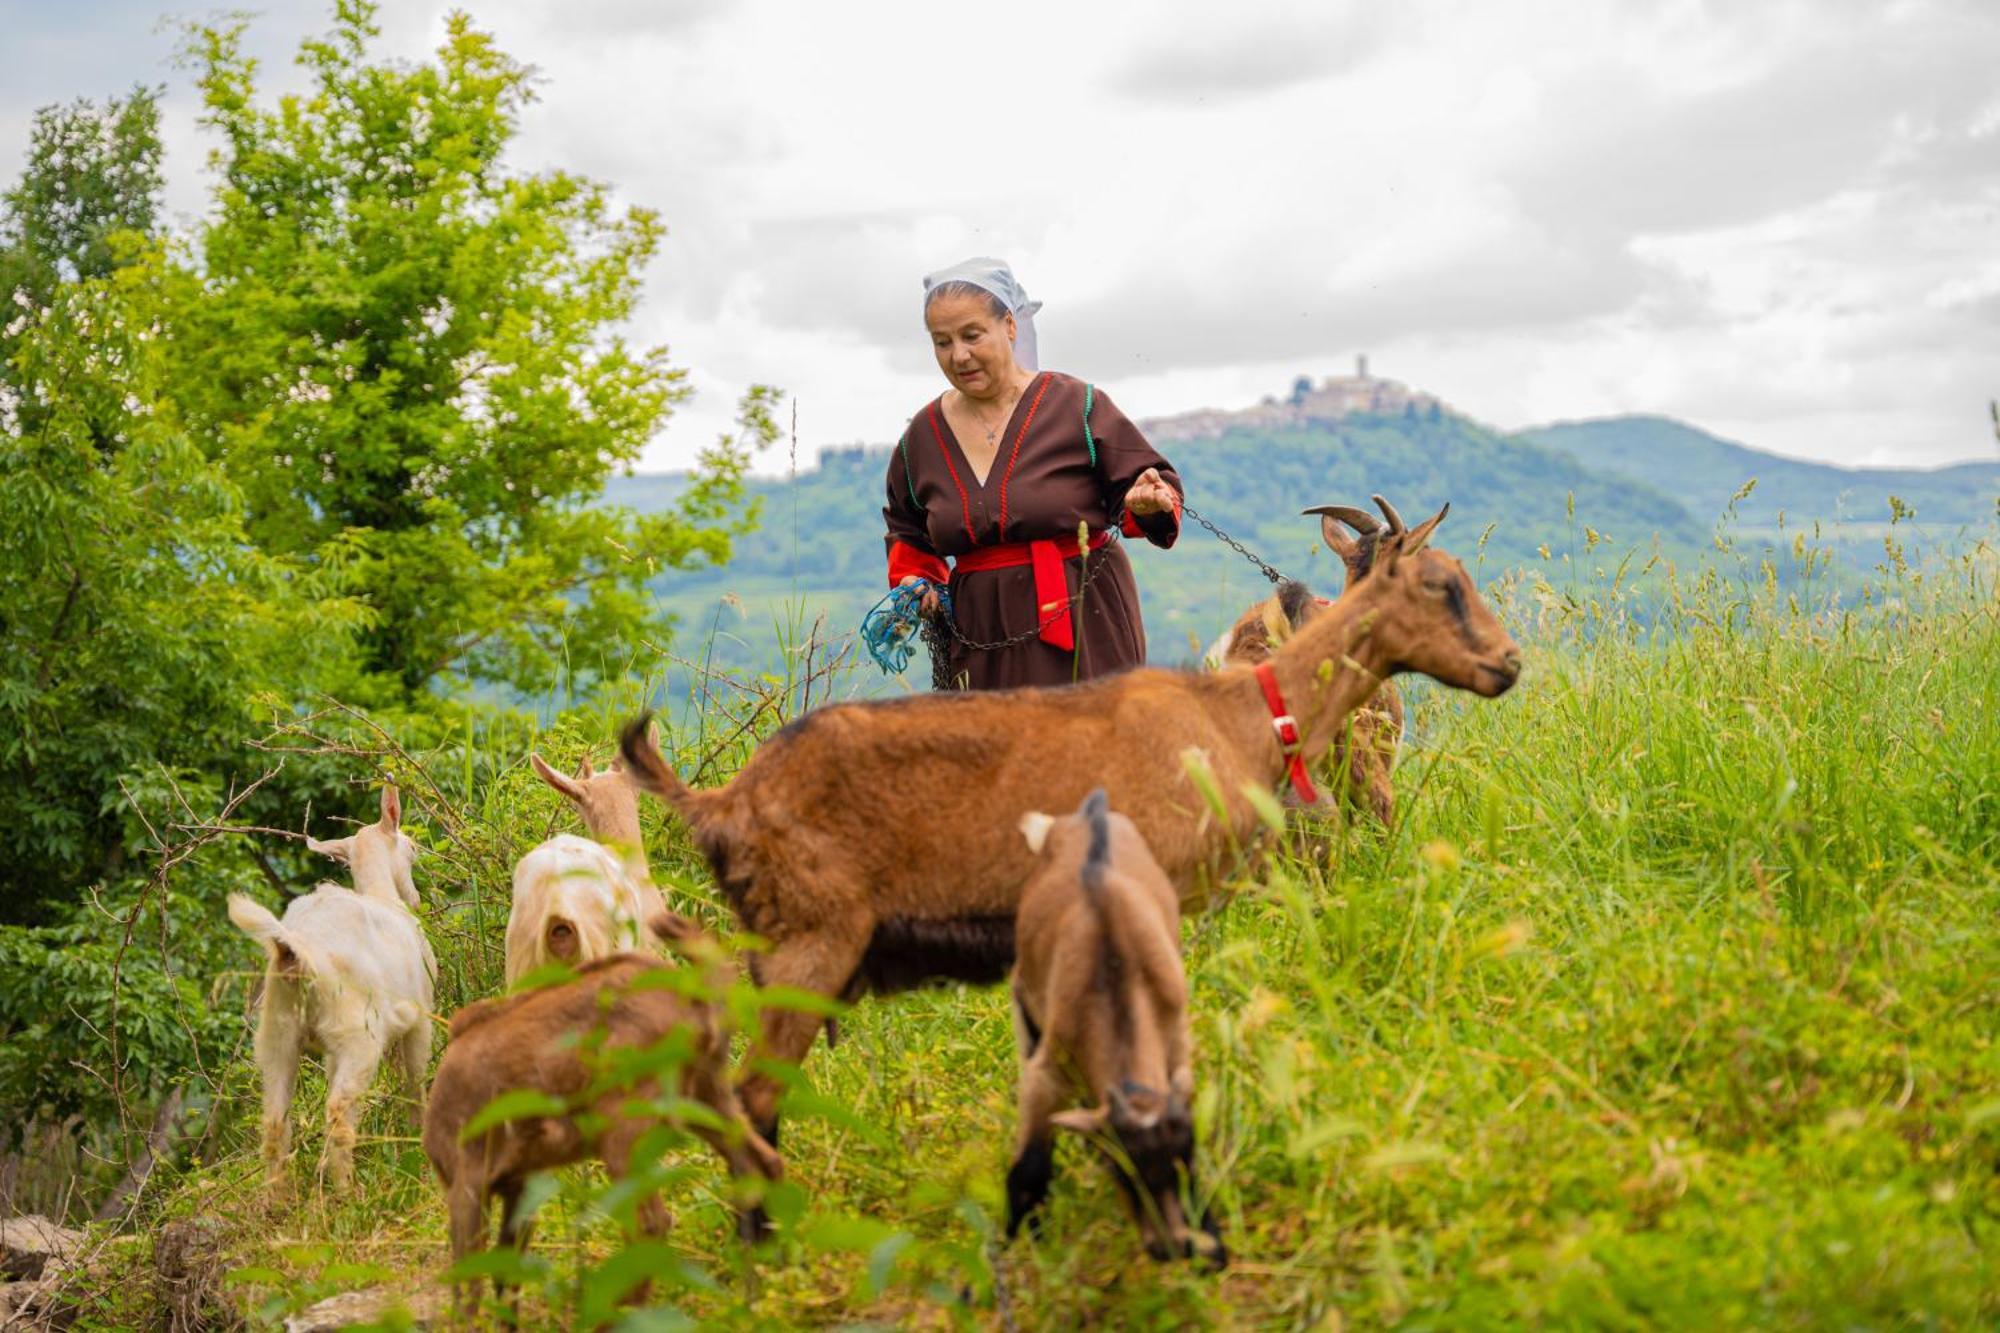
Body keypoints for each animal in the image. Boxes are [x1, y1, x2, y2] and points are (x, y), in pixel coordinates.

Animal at [422, 908, 780, 1304]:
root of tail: (693, 994)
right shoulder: (520, 1183)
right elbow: (506, 1273)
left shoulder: (466, 1184)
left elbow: (468, 1285)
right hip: (707, 1094)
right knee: (763, 1164)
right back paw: (767, 1278)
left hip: (624, 1125)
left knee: (651, 1221)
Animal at [1016, 788, 1216, 1264]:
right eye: (1124, 1173)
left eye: (1187, 1164)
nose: (1170, 1247)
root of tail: (1091, 812)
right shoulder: (1046, 1072)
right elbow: (1029, 1168)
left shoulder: (1175, 1043)